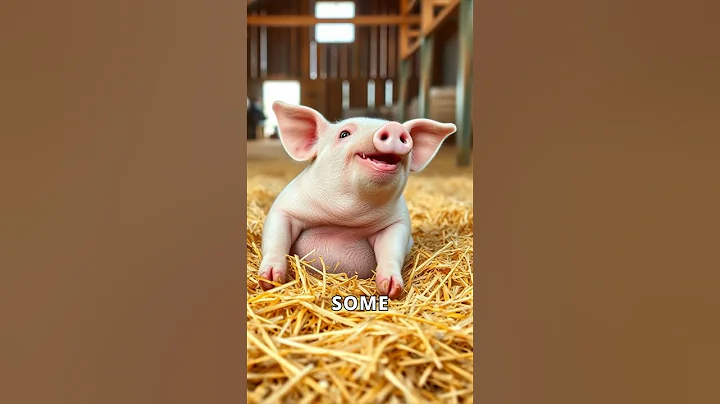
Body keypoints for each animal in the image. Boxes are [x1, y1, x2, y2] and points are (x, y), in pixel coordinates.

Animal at [257, 101, 457, 299]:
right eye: (344, 134)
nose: (394, 127)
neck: (345, 217)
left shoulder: (397, 224)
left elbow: (391, 250)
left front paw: (391, 288)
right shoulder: (284, 208)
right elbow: (277, 237)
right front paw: (270, 280)